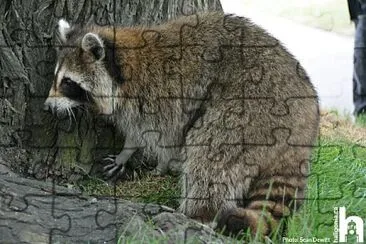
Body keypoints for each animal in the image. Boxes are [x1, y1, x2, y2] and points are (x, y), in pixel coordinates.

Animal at [43, 12, 318, 239]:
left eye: (68, 82)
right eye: (56, 78)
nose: (47, 107)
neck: (122, 62)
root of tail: (304, 118)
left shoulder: (160, 95)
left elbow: (161, 134)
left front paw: (151, 158)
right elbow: (140, 131)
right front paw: (129, 153)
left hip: (250, 109)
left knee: (210, 158)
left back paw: (199, 214)